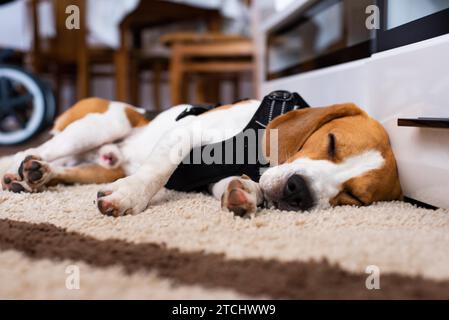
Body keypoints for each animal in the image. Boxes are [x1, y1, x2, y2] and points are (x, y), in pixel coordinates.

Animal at [0, 92, 402, 218]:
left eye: (354, 197)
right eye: (331, 142)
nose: (298, 191)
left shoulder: (211, 177)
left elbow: (233, 186)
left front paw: (244, 193)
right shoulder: (187, 131)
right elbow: (158, 171)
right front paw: (130, 196)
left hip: (98, 165)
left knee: (64, 167)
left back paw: (35, 175)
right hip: (100, 124)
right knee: (34, 148)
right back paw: (18, 168)